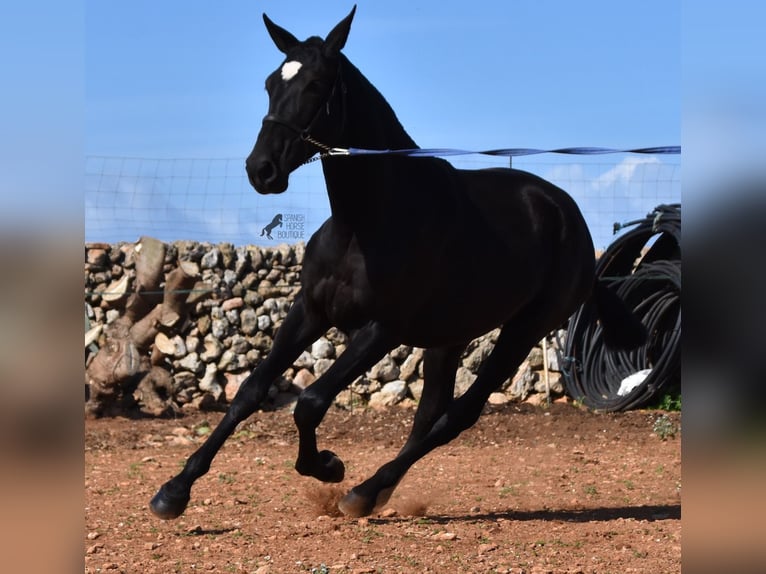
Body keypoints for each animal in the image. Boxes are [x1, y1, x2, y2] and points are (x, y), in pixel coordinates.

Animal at [148, 5, 640, 520]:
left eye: (316, 85)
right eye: (269, 83)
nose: (260, 170)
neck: (365, 222)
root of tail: (570, 219)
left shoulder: (382, 329)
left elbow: (310, 401)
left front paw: (327, 466)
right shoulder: (311, 311)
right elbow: (250, 391)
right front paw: (174, 491)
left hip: (523, 331)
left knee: (458, 415)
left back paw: (363, 491)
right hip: (449, 336)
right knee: (430, 414)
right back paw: (375, 491)